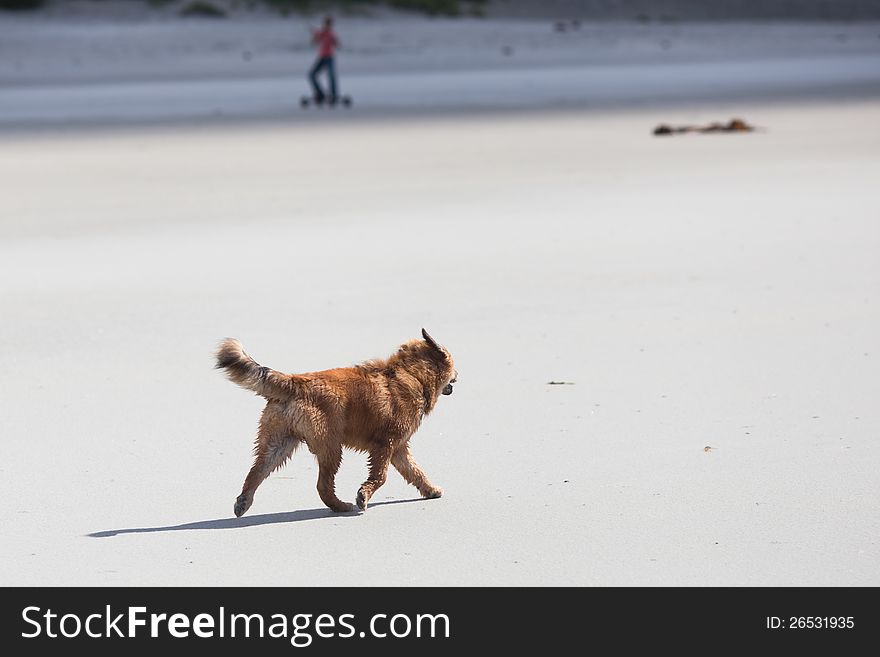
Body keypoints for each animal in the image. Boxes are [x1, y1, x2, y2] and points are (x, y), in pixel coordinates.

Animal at [217, 330, 458, 516]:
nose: (458, 374)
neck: (411, 374)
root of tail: (296, 382)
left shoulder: (398, 448)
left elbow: (415, 472)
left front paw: (431, 490)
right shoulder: (386, 445)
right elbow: (380, 476)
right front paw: (364, 495)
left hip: (278, 442)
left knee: (256, 471)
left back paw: (243, 501)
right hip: (331, 445)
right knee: (323, 485)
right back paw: (341, 506)